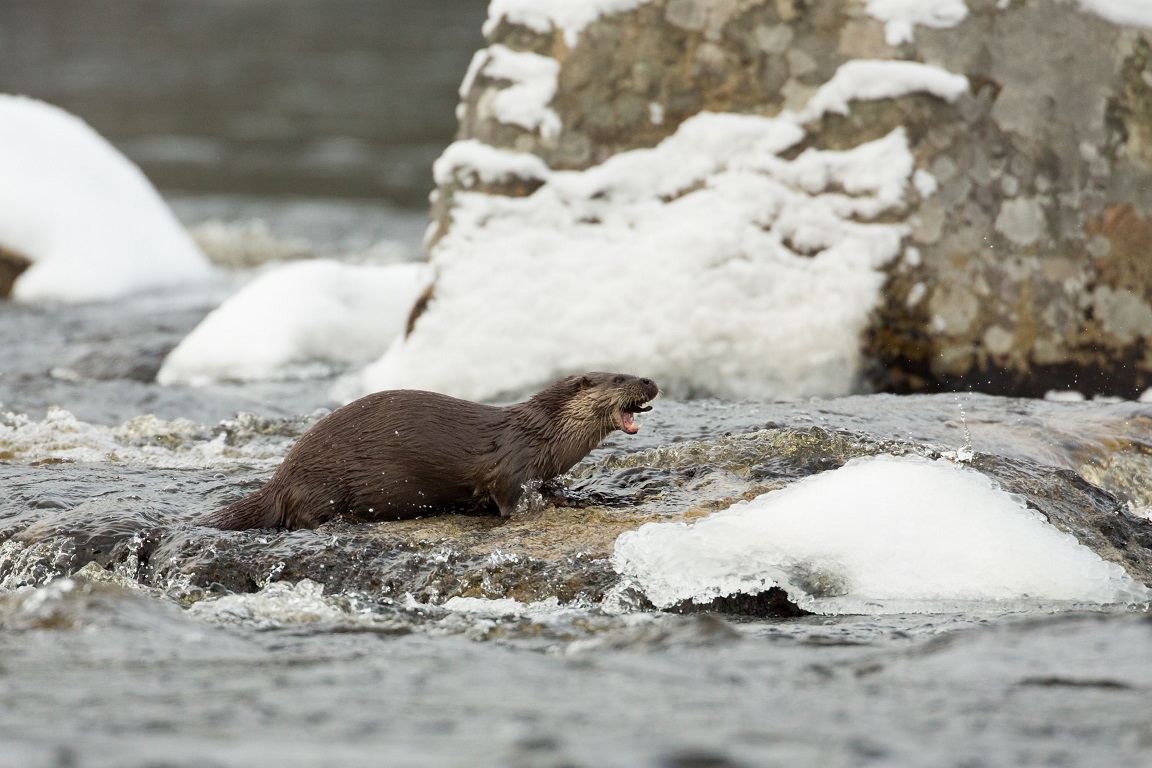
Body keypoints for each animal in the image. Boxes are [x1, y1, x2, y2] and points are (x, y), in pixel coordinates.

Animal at [198, 370, 658, 529]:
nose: (650, 381)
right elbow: (509, 500)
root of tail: (280, 476)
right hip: (320, 481)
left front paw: (561, 497)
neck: (543, 436)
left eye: (636, 373)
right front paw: (542, 508)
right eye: (620, 378)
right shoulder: (510, 465)